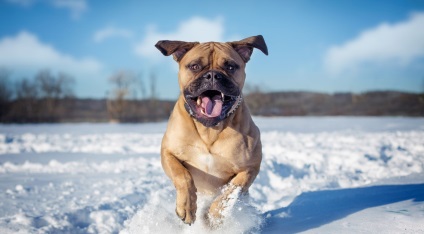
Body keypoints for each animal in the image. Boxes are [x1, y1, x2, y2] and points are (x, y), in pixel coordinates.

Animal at [156, 35, 268, 227]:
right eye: (194, 66)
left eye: (230, 66)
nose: (213, 75)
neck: (209, 130)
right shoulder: (168, 152)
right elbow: (183, 176)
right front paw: (186, 207)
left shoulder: (250, 168)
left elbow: (231, 190)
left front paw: (214, 215)